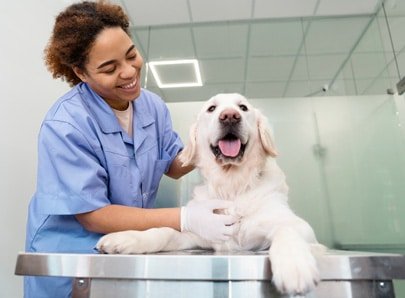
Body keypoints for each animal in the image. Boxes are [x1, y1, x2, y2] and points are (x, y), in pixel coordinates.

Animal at [97, 93, 322, 296]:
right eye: (212, 109)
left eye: (243, 107)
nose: (230, 116)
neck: (231, 186)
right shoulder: (198, 234)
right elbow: (164, 231)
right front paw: (127, 238)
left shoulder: (300, 227)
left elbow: (286, 229)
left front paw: (294, 265)